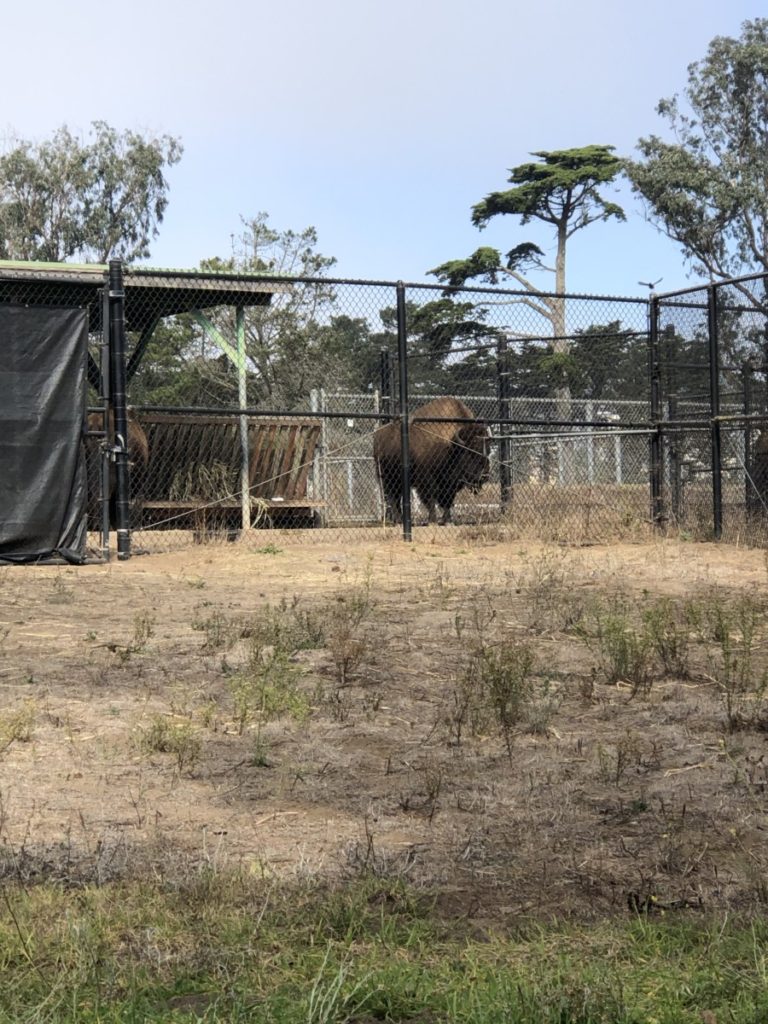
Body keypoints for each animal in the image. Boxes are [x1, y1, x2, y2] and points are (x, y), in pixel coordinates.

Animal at [374, 397, 493, 528]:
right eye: (470, 451)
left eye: (488, 451)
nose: (484, 475)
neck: (452, 445)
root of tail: (378, 436)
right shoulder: (426, 480)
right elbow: (431, 499)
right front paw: (433, 521)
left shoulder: (450, 484)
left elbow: (447, 501)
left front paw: (448, 521)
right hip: (388, 478)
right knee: (392, 497)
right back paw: (399, 521)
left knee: (397, 498)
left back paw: (400, 520)